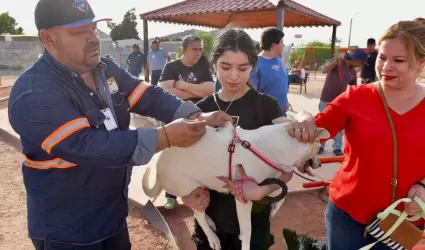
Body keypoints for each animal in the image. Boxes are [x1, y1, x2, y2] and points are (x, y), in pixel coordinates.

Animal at [142, 116, 328, 250]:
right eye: (319, 147)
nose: (320, 164)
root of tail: (158, 163)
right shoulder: (243, 197)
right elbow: (247, 231)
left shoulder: (271, 181)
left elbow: (282, 194)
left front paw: (274, 209)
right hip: (193, 188)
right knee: (199, 216)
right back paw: (213, 238)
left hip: (202, 187)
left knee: (198, 212)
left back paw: (211, 222)